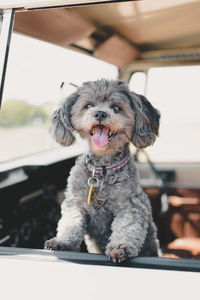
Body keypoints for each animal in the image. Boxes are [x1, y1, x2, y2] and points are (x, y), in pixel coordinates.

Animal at [44, 78, 160, 262]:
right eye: (88, 105)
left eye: (116, 107)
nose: (99, 113)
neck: (103, 169)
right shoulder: (75, 203)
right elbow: (70, 223)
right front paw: (62, 242)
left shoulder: (130, 205)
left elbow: (127, 226)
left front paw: (120, 247)